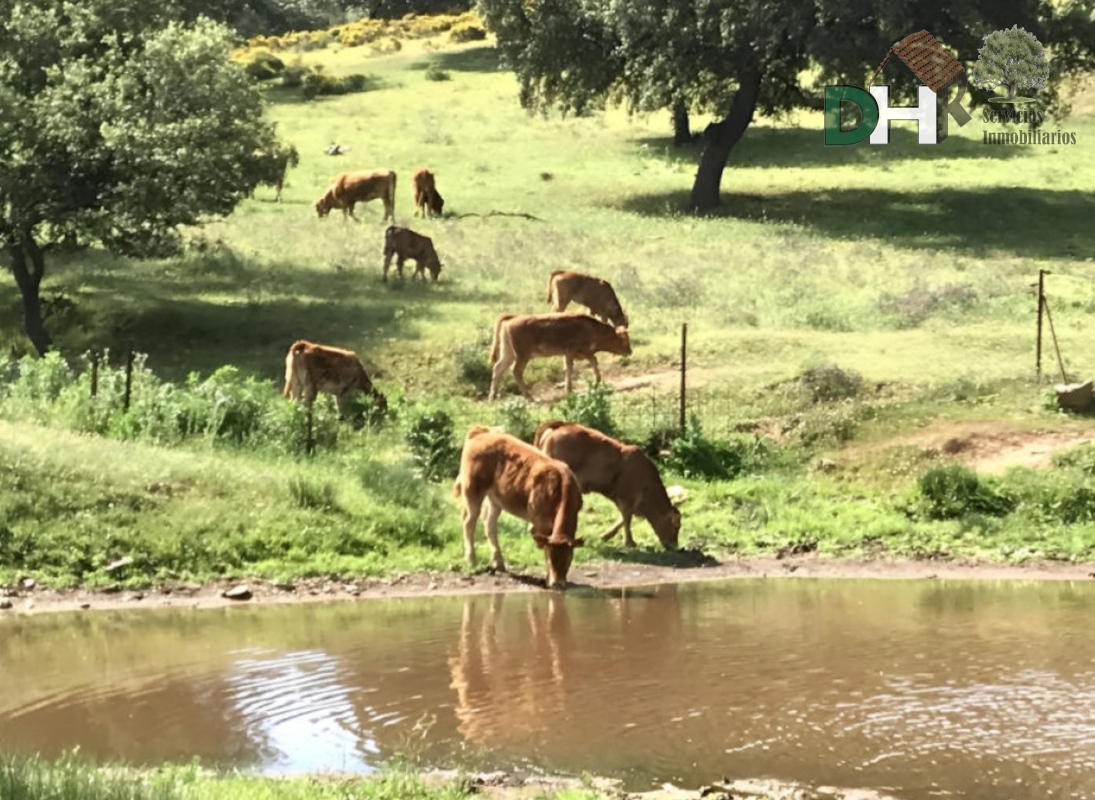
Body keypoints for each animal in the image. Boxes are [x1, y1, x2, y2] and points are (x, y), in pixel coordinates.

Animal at [451, 424, 586, 586]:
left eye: (569, 557)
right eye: (549, 556)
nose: (557, 583)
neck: (561, 487)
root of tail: (482, 432)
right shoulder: (540, 524)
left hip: (495, 498)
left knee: (489, 522)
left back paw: (499, 563)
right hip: (472, 490)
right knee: (469, 521)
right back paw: (472, 560)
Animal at [490, 312, 635, 400]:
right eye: (624, 340)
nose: (630, 351)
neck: (593, 329)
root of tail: (511, 319)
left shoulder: (568, 354)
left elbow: (569, 369)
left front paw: (568, 390)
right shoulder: (583, 352)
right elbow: (593, 361)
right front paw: (595, 383)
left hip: (508, 354)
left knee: (498, 368)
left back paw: (492, 396)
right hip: (522, 356)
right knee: (516, 371)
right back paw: (529, 396)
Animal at [534, 420, 678, 551]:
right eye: (676, 526)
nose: (675, 547)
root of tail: (562, 425)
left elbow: (623, 519)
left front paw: (606, 536)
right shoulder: (627, 497)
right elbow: (627, 518)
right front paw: (629, 542)